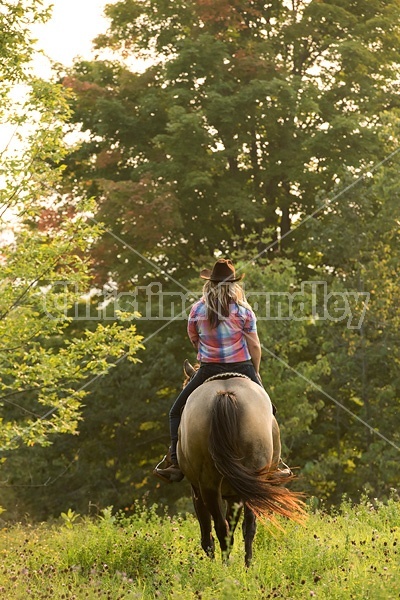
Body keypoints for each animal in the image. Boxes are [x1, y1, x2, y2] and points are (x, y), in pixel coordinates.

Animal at [177, 360, 304, 568]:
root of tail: (225, 395)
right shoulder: (232, 495)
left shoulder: (199, 490)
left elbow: (208, 527)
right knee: (243, 527)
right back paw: (246, 565)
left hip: (210, 484)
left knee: (224, 526)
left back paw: (228, 566)